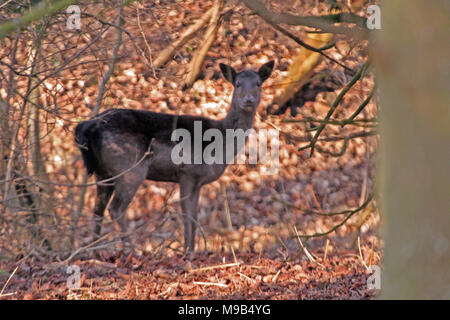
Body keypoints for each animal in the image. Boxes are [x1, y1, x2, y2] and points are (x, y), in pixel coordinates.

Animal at [74, 59, 274, 250]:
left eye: (258, 83)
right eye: (238, 84)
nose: (248, 99)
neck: (221, 143)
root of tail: (89, 126)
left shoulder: (197, 181)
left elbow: (194, 215)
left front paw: (192, 249)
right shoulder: (188, 173)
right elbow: (187, 215)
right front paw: (187, 251)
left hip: (104, 172)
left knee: (97, 209)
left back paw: (94, 251)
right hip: (130, 166)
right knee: (115, 209)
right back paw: (130, 250)